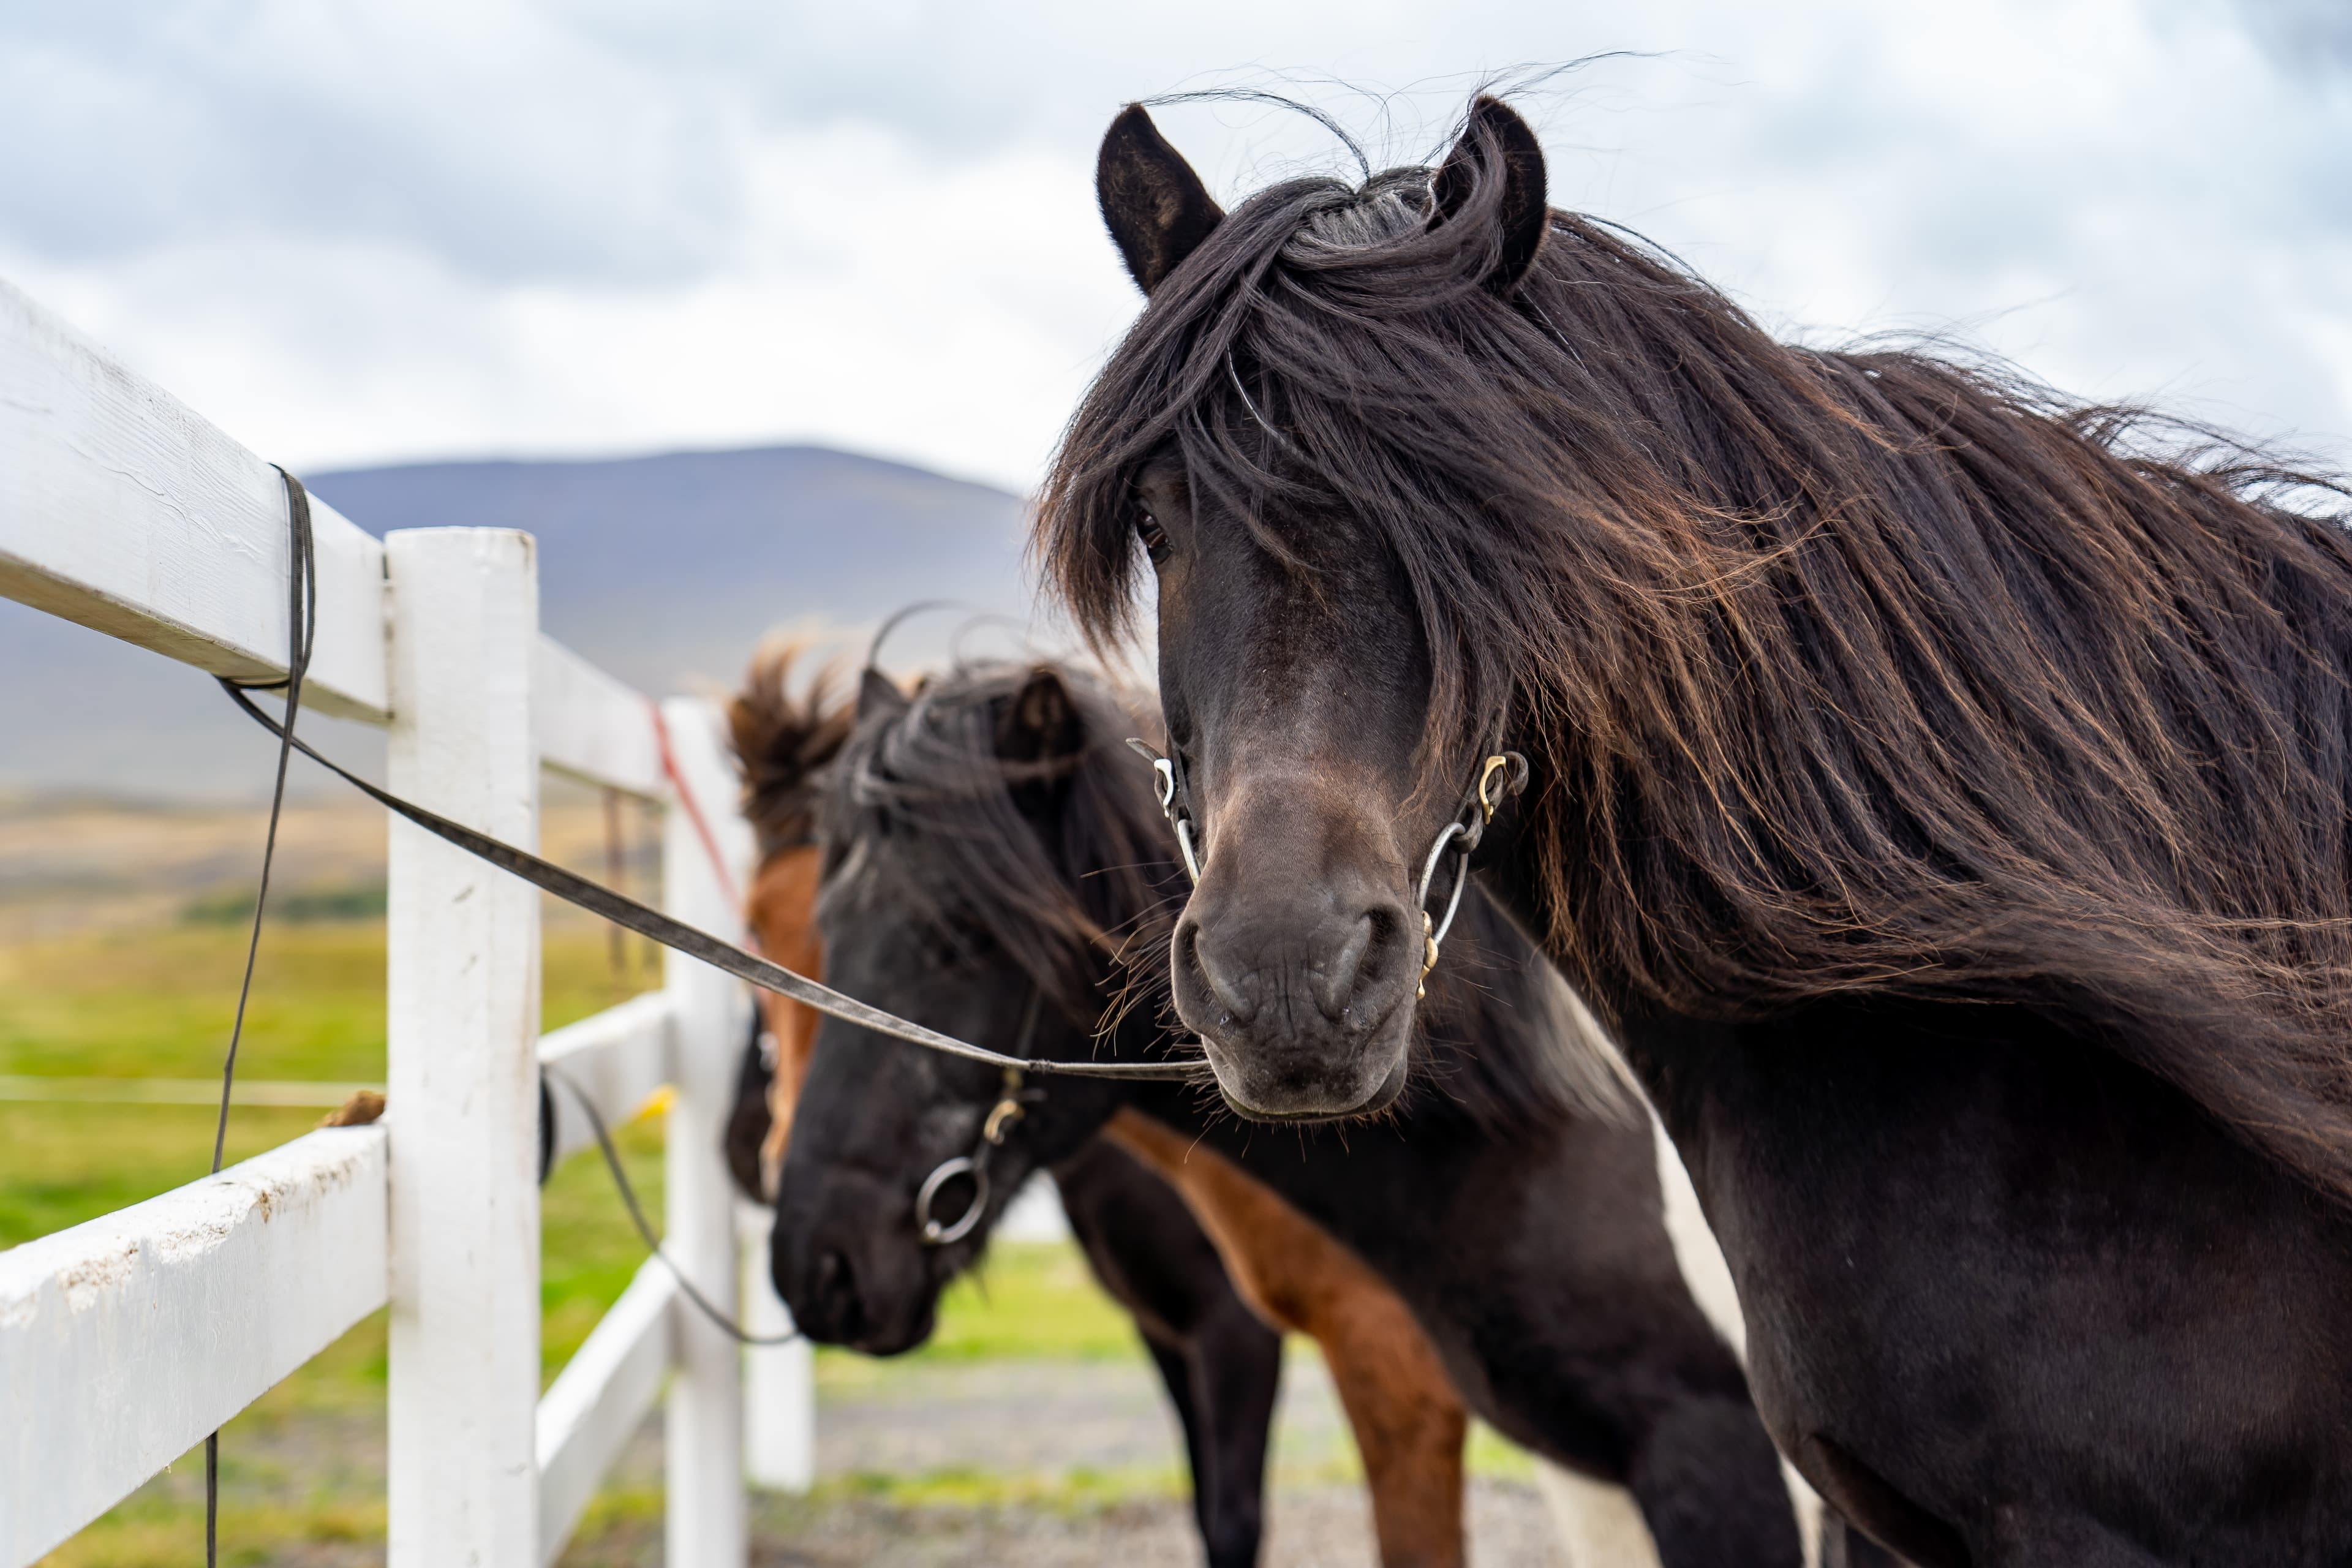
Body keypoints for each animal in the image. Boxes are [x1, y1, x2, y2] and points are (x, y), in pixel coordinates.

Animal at [768, 656, 1818, 1566]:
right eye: (827, 928)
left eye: (958, 935)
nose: (817, 1267)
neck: (1571, 1127)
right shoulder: (1588, 1474)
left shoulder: (1709, 1455)